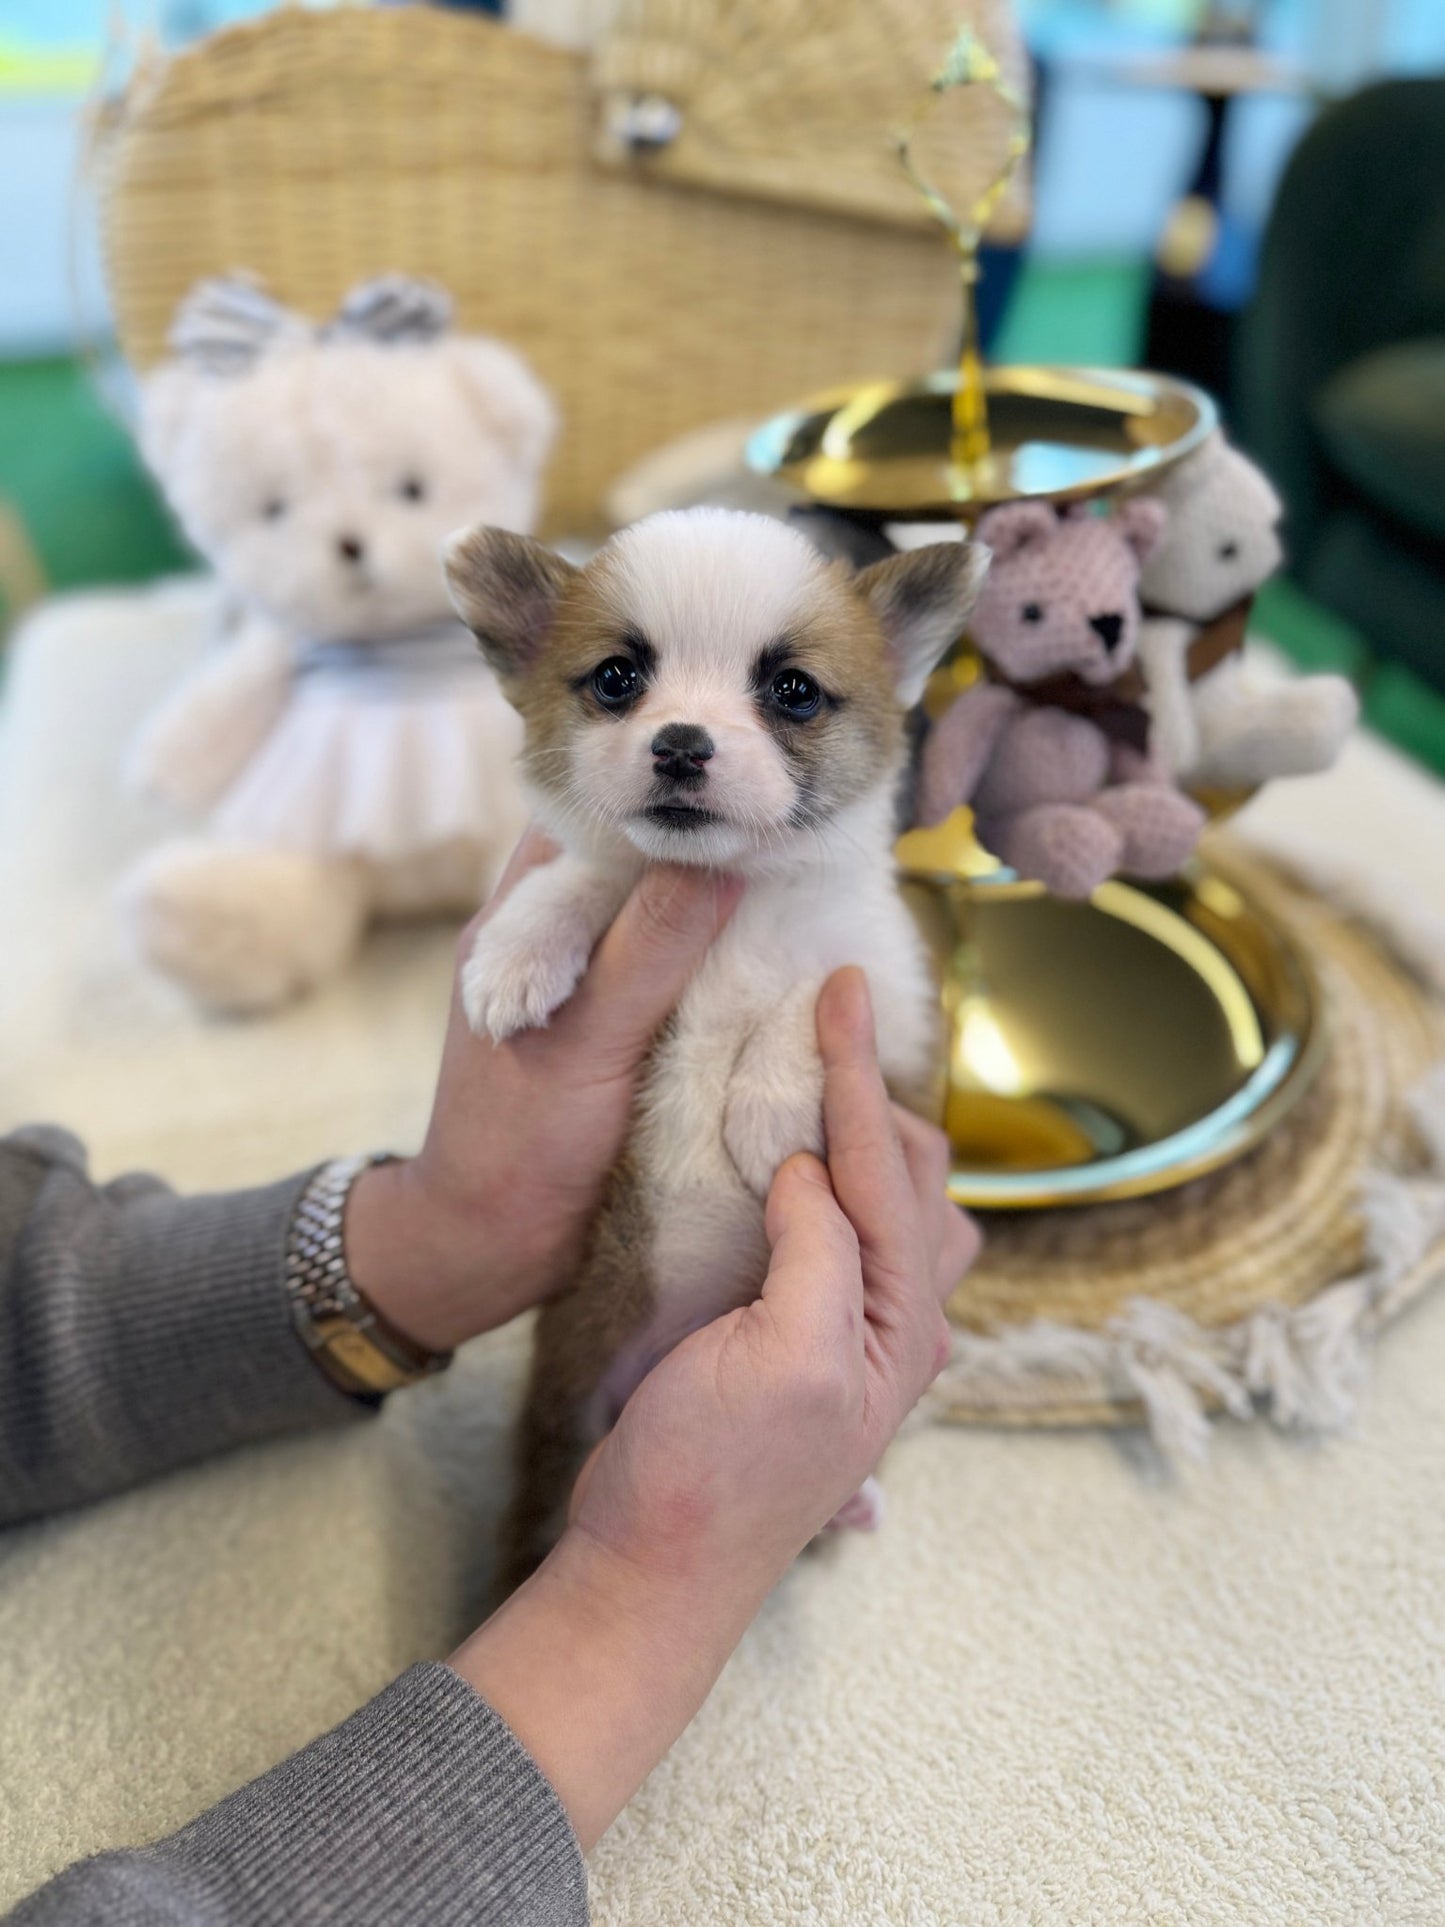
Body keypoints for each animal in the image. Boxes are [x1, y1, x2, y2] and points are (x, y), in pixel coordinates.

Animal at [446, 504, 994, 1587]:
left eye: (792, 690)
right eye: (617, 678)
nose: (681, 743)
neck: (729, 903)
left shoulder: (886, 993)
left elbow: (816, 986)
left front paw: (772, 1108)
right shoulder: (620, 886)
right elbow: (585, 877)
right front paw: (516, 953)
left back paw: (846, 1500)